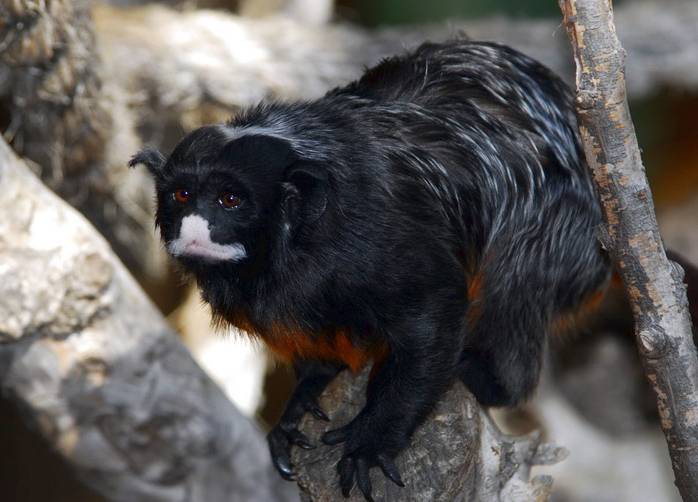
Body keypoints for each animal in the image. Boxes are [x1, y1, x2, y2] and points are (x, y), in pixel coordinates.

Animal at [130, 41, 608, 500]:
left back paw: (488, 379)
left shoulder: (375, 240)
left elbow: (435, 309)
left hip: (570, 235)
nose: (195, 228)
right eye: (182, 196)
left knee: (514, 277)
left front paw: (375, 437)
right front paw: (306, 395)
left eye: (229, 200)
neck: (296, 244)